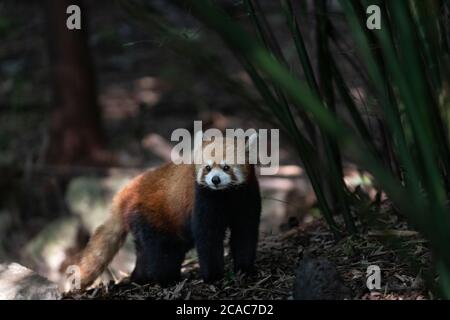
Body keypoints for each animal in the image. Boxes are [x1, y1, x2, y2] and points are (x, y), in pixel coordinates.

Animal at [76, 134, 260, 288]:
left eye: (226, 167)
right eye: (207, 168)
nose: (215, 180)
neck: (225, 195)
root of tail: (130, 188)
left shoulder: (246, 197)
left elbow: (245, 233)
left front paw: (245, 270)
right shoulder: (203, 200)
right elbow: (208, 238)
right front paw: (213, 277)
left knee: (149, 252)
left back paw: (140, 279)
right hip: (152, 217)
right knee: (162, 252)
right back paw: (167, 280)